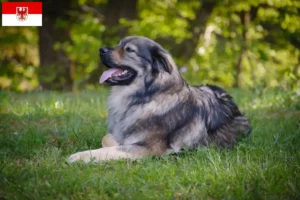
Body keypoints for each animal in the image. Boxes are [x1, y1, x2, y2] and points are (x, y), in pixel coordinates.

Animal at [68, 36, 251, 164]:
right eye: (119, 45)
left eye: (129, 50)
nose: (101, 50)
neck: (146, 97)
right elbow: (108, 138)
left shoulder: (149, 149)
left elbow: (112, 149)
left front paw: (80, 156)